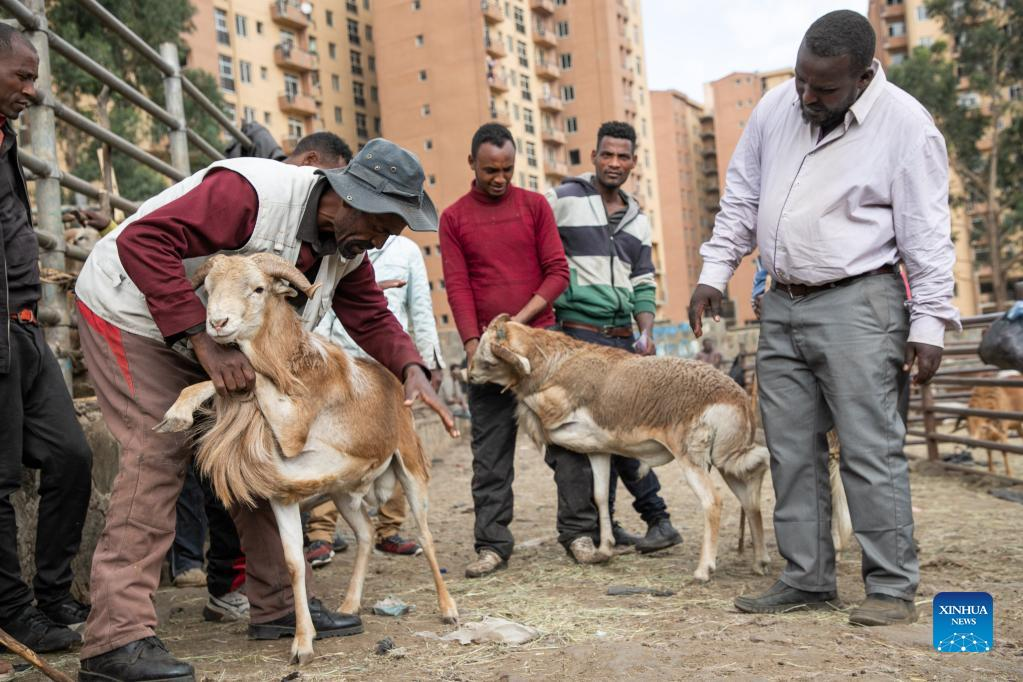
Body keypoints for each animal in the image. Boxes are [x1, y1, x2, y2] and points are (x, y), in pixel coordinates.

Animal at [468, 316, 769, 580]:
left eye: (487, 355)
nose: (468, 375)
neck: (555, 363)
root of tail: (737, 399)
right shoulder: (598, 451)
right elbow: (600, 496)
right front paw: (604, 549)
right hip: (727, 461)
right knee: (752, 494)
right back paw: (760, 562)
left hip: (693, 460)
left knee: (713, 501)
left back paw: (703, 570)